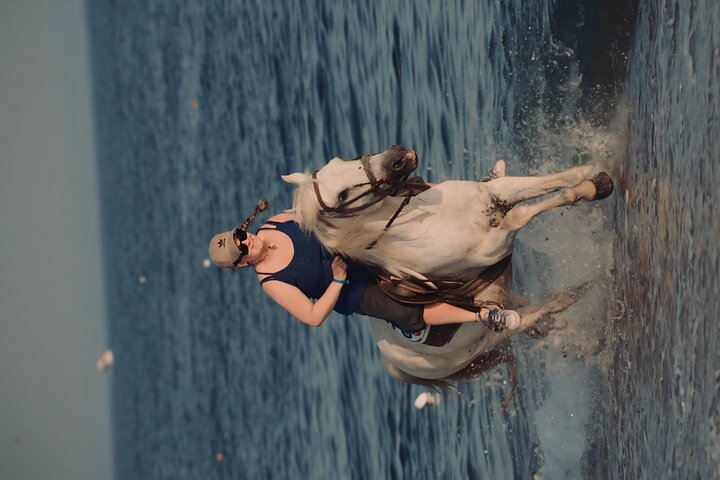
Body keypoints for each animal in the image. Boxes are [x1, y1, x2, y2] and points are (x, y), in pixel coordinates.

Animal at [281, 144, 612, 384]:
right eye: (342, 195)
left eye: (339, 159)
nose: (398, 158)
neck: (434, 220)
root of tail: (397, 365)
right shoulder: (498, 241)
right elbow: (523, 213)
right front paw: (592, 186)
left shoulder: (495, 193)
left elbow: (557, 180)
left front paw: (599, 177)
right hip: (487, 336)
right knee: (540, 312)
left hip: (500, 293)